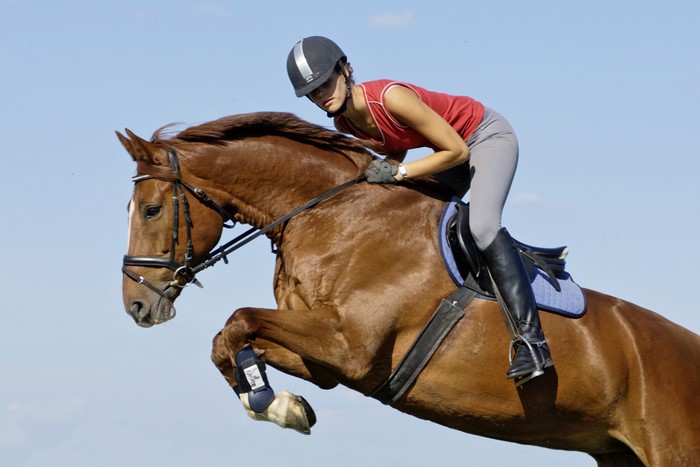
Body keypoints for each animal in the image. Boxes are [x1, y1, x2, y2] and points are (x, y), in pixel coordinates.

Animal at [118, 111, 700, 467]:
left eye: (150, 210)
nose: (137, 305)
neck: (329, 214)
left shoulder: (350, 347)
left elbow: (237, 320)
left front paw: (268, 401)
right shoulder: (327, 361)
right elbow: (229, 341)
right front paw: (279, 405)